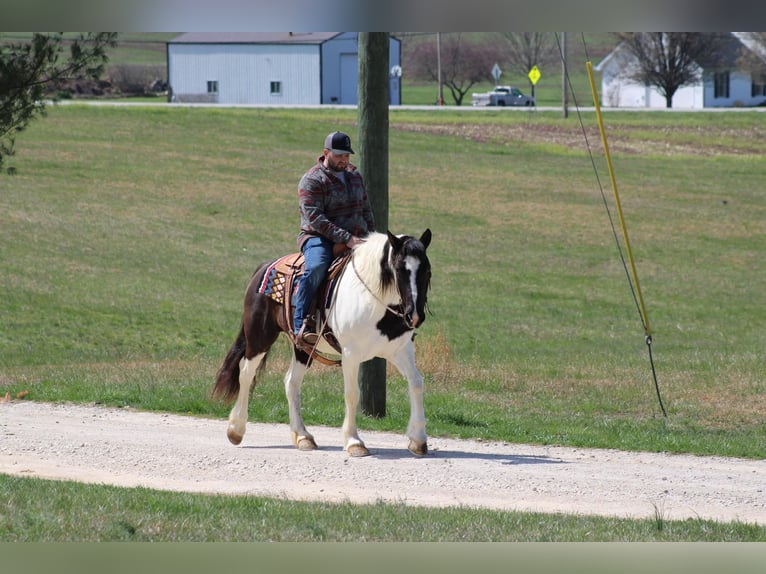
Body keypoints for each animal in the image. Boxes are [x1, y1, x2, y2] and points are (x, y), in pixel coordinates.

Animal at [213, 230, 436, 460]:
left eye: (427, 271)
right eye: (400, 269)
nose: (415, 316)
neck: (374, 300)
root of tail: (263, 268)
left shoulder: (401, 350)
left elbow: (416, 383)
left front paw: (418, 440)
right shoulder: (351, 354)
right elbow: (352, 394)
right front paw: (354, 441)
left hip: (302, 348)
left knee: (291, 383)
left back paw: (303, 436)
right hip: (260, 337)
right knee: (246, 374)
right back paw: (236, 429)